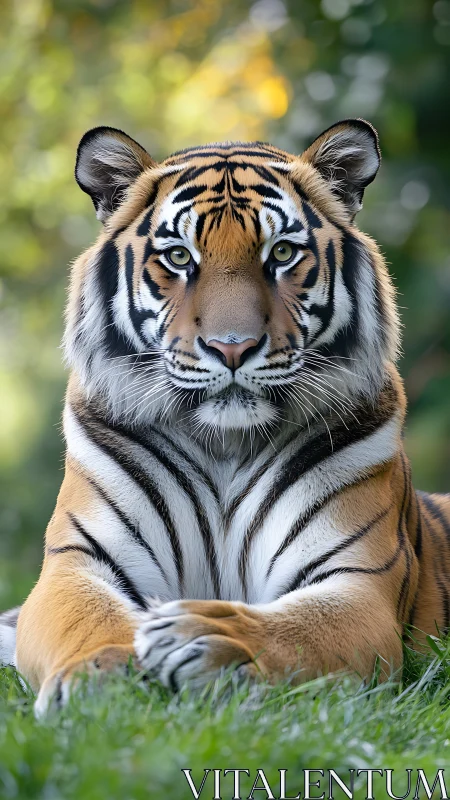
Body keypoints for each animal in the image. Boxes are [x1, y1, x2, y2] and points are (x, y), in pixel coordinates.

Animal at [1, 118, 449, 718]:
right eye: (179, 257)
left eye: (281, 253)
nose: (231, 347)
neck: (225, 445)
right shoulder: (79, 561)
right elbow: (85, 618)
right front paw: (100, 679)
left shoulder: (357, 582)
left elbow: (297, 629)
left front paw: (204, 635)